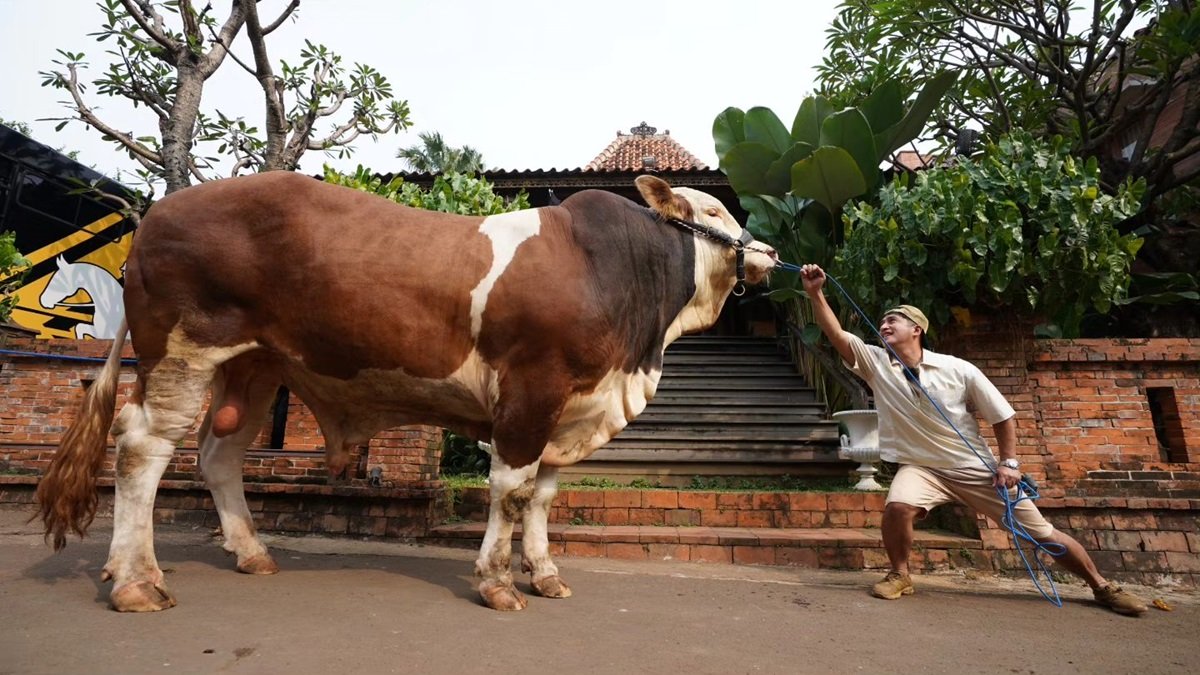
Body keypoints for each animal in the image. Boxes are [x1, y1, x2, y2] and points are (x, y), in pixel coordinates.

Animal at [37, 171, 777, 610]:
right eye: (713, 209)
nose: (769, 253)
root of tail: (157, 212)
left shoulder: (568, 407)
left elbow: (541, 496)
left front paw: (544, 574)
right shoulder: (531, 390)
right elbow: (511, 491)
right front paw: (497, 582)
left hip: (253, 368)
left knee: (218, 457)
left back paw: (251, 553)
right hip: (182, 354)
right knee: (141, 450)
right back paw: (136, 579)